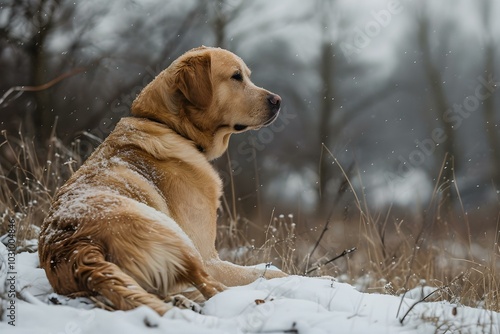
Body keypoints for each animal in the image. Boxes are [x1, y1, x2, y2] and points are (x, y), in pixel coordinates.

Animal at [37, 45, 288, 314]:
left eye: (248, 75)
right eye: (236, 76)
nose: (278, 100)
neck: (170, 126)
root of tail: (78, 249)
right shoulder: (210, 257)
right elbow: (271, 272)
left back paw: (183, 301)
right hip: (175, 235)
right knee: (213, 287)